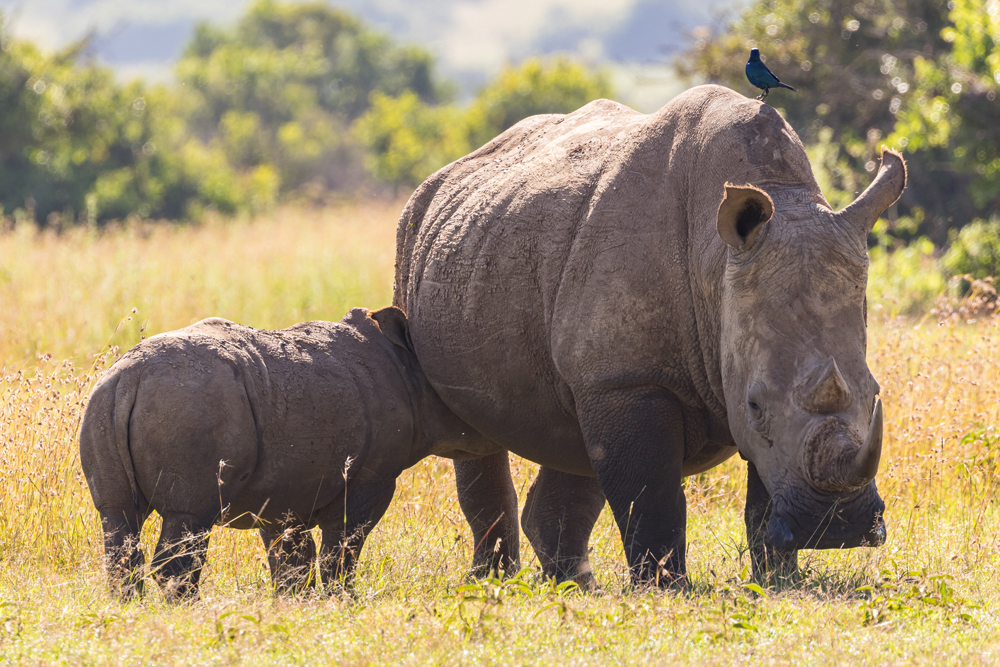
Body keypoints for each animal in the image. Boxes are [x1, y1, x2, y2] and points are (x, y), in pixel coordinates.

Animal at [81, 308, 496, 600]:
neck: (407, 368)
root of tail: (129, 378)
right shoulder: (371, 476)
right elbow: (343, 546)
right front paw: (343, 603)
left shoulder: (284, 489)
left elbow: (292, 558)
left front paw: (294, 604)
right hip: (187, 405)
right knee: (190, 517)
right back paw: (189, 613)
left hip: (104, 402)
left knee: (117, 516)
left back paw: (131, 612)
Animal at [394, 86, 904, 588]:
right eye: (755, 406)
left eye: (875, 394)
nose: (837, 529)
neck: (714, 263)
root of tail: (441, 178)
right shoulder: (628, 379)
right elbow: (652, 495)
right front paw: (665, 588)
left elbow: (761, 497)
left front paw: (778, 580)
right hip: (421, 241)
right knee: (476, 438)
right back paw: (494, 583)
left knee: (572, 437)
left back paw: (572, 586)